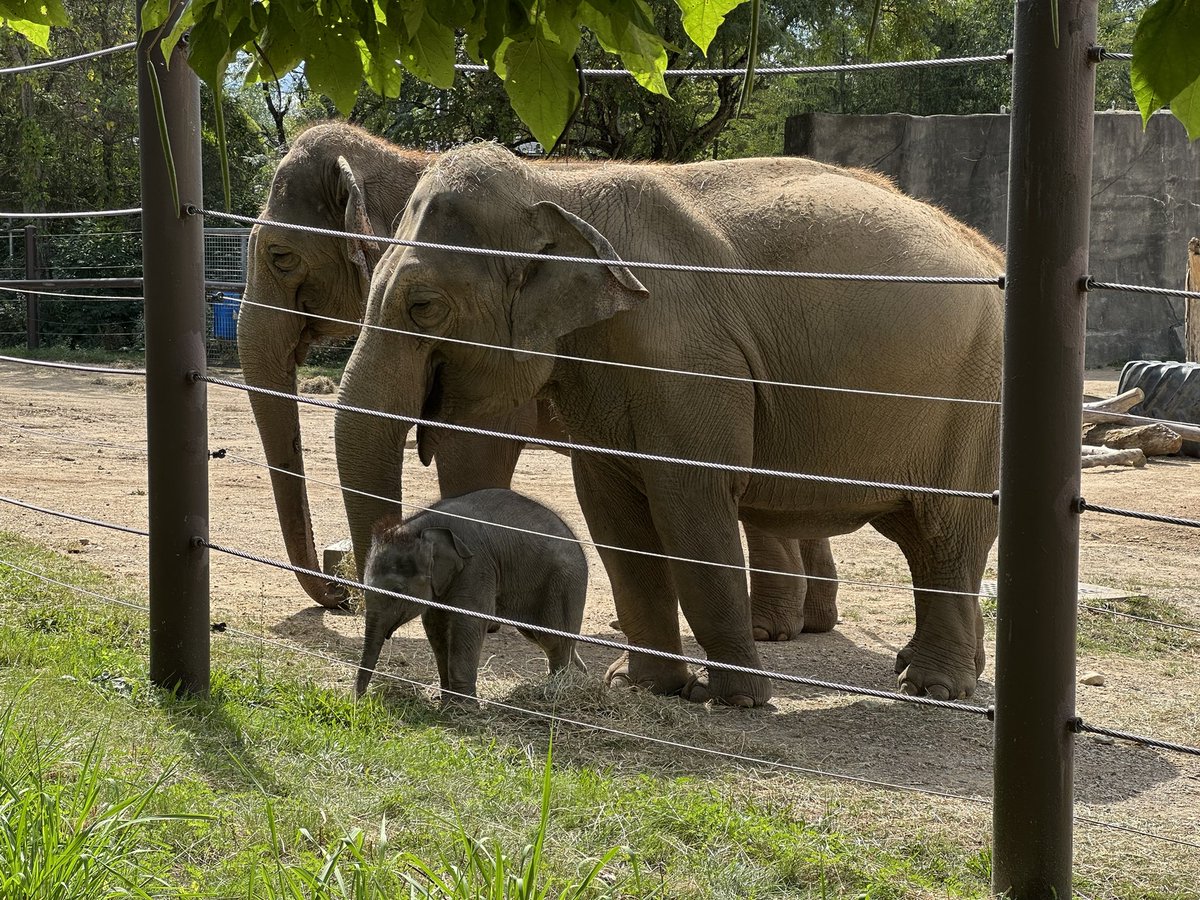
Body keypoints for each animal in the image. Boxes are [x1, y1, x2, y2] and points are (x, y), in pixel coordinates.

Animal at [239, 121, 840, 636]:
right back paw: (807, 623)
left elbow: (475, 448)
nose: (337, 592)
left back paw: (768, 629)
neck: (394, 158)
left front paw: (480, 615)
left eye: (280, 255)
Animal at [357, 488, 588, 703]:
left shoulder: (476, 566)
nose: (359, 702)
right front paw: (446, 701)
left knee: (553, 639)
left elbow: (468, 622)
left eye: (397, 591)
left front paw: (462, 707)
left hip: (564, 585)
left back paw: (555, 692)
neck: (422, 527)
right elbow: (435, 626)